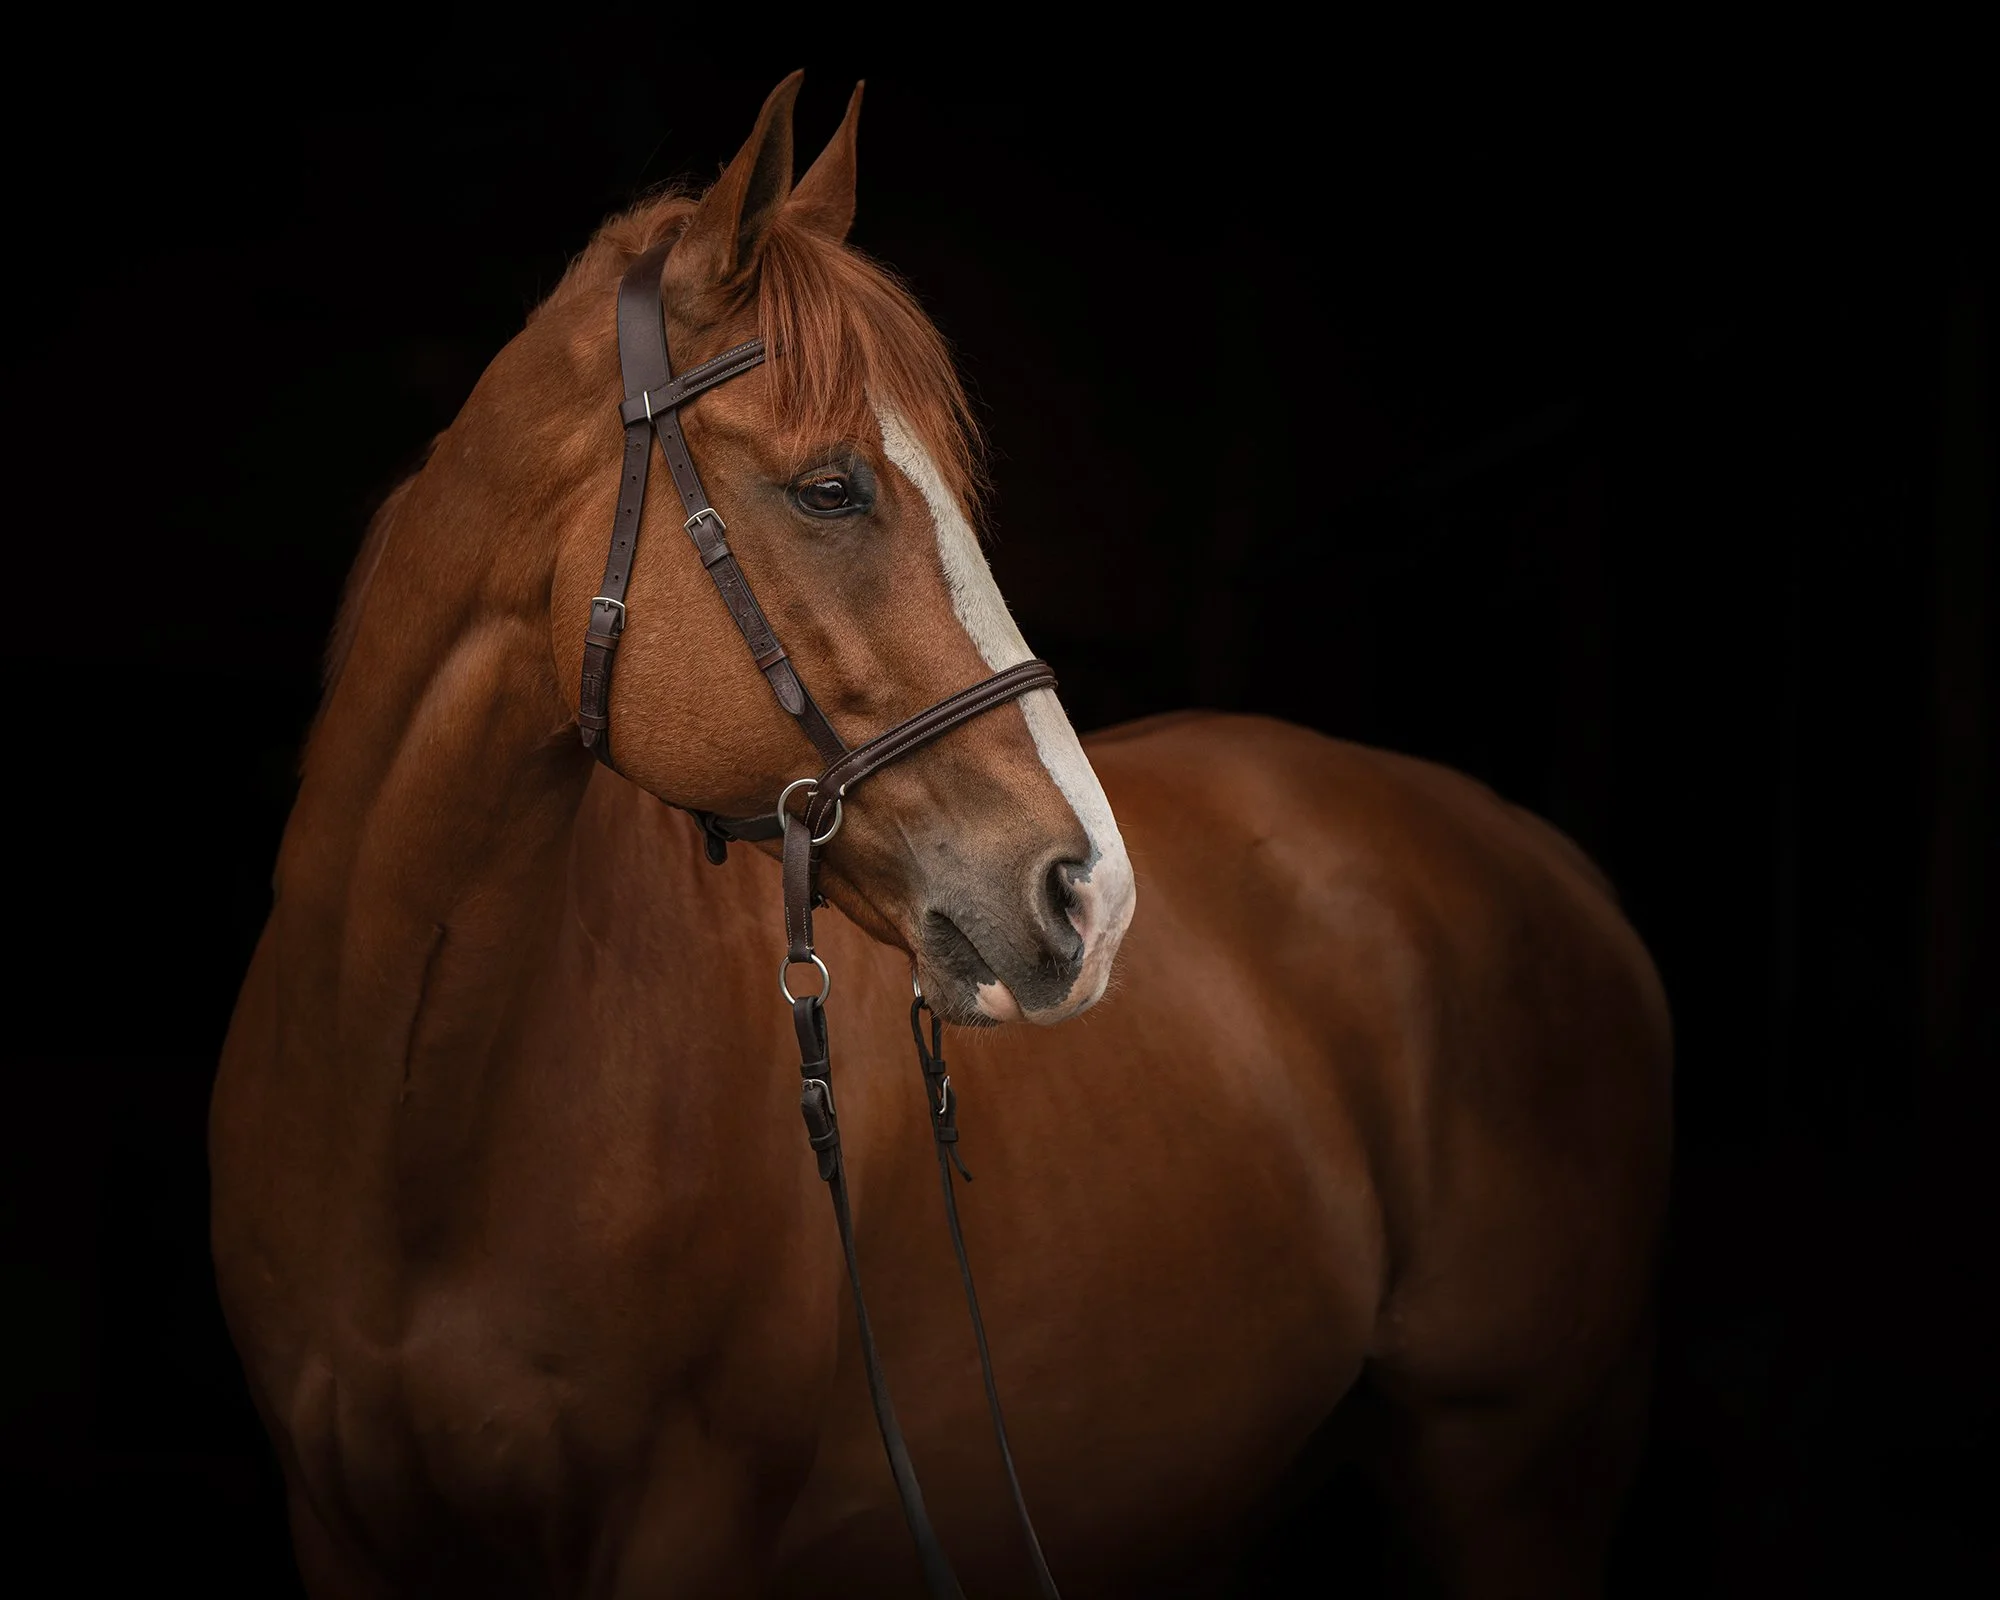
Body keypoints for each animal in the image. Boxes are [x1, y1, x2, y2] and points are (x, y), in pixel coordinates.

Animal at [211, 72, 1672, 1598]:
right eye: (830, 487)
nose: (1095, 896)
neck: (414, 1115)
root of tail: (1551, 863)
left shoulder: (686, 1525)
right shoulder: (341, 1531)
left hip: (1516, 1484)